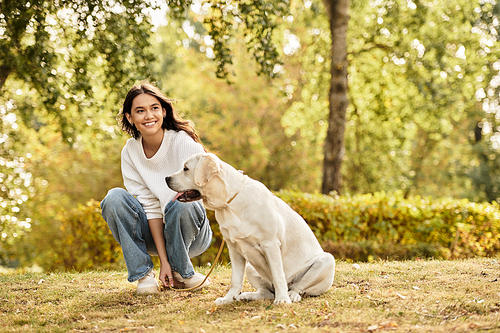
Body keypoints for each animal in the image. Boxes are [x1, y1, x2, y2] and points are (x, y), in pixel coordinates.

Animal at [166, 153, 334, 304]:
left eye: (186, 169)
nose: (166, 178)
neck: (228, 203)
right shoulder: (234, 248)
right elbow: (235, 280)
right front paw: (228, 299)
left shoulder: (270, 245)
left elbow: (278, 276)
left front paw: (282, 300)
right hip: (251, 267)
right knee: (267, 292)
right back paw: (248, 296)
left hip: (327, 261)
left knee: (297, 287)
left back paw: (291, 295)